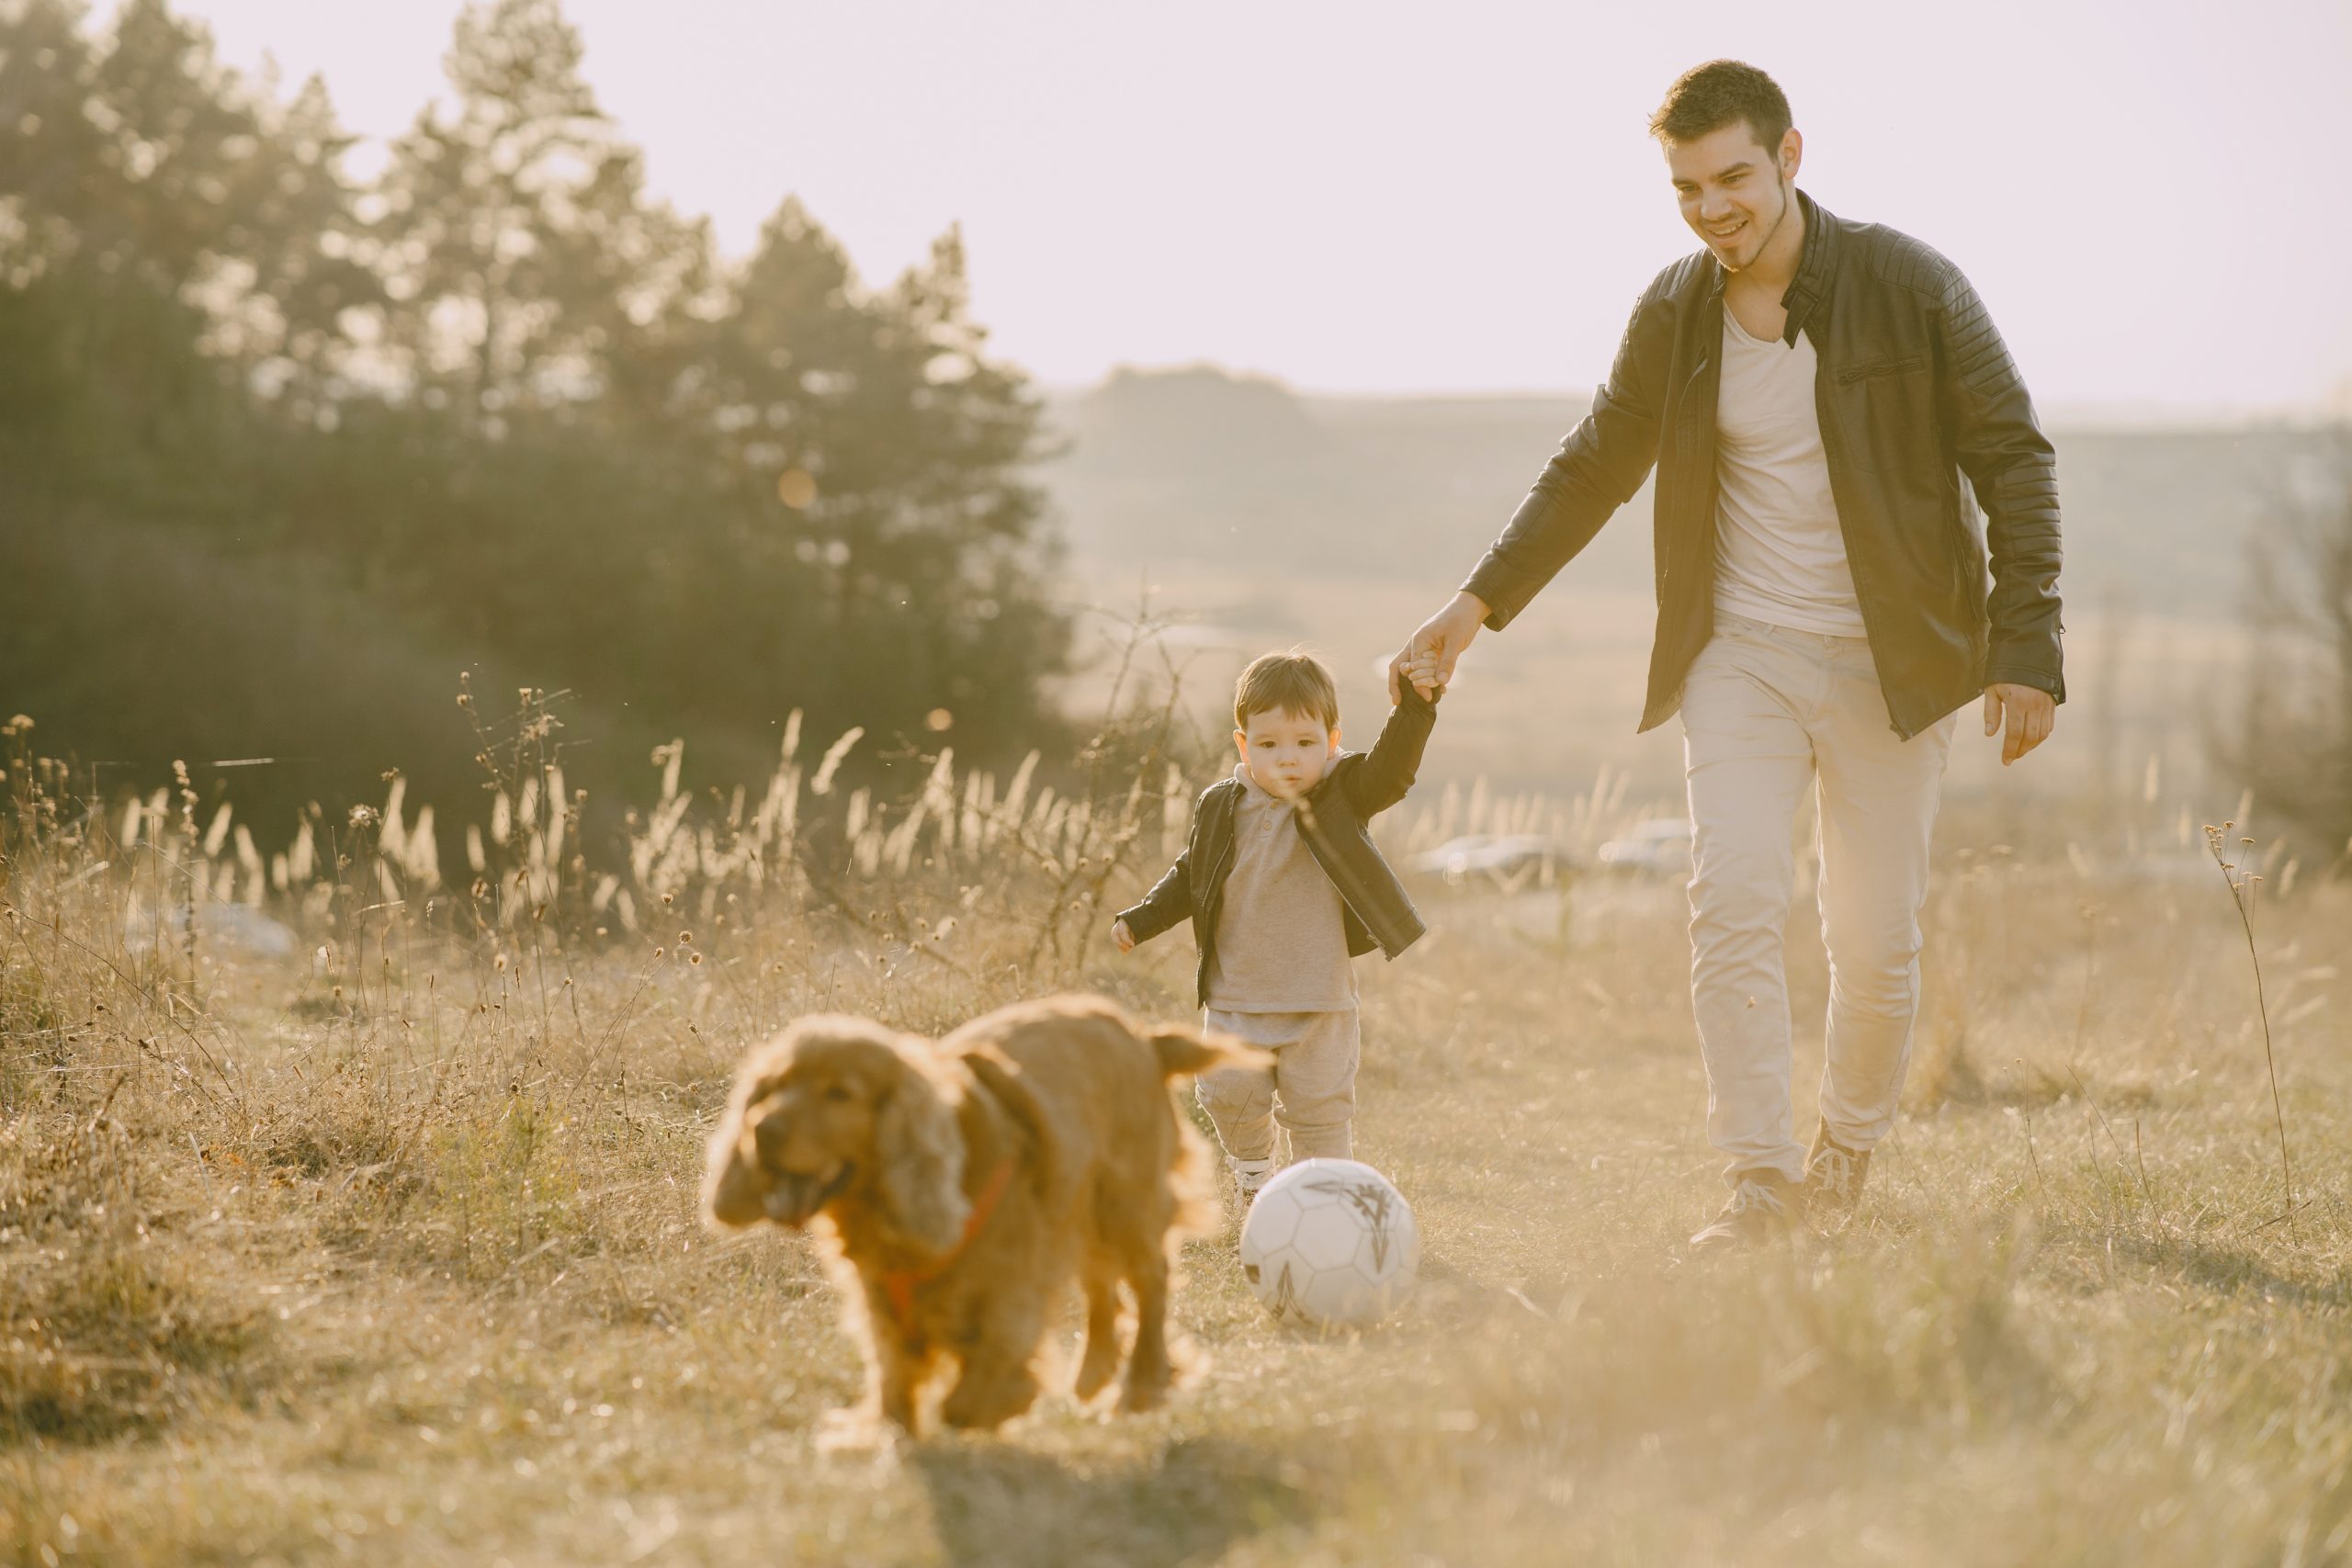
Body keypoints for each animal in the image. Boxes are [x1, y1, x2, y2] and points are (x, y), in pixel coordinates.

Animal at [700, 991, 1270, 1438]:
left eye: (839, 1093)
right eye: (774, 1086)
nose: (761, 1129)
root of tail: (1143, 1038)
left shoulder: (1009, 1297)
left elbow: (970, 1393)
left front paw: (1002, 1404)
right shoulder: (879, 1303)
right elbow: (894, 1381)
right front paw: (890, 1437)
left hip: (1123, 1206)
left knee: (1151, 1283)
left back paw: (1141, 1385)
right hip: (1081, 1211)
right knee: (1101, 1290)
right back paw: (1093, 1373)